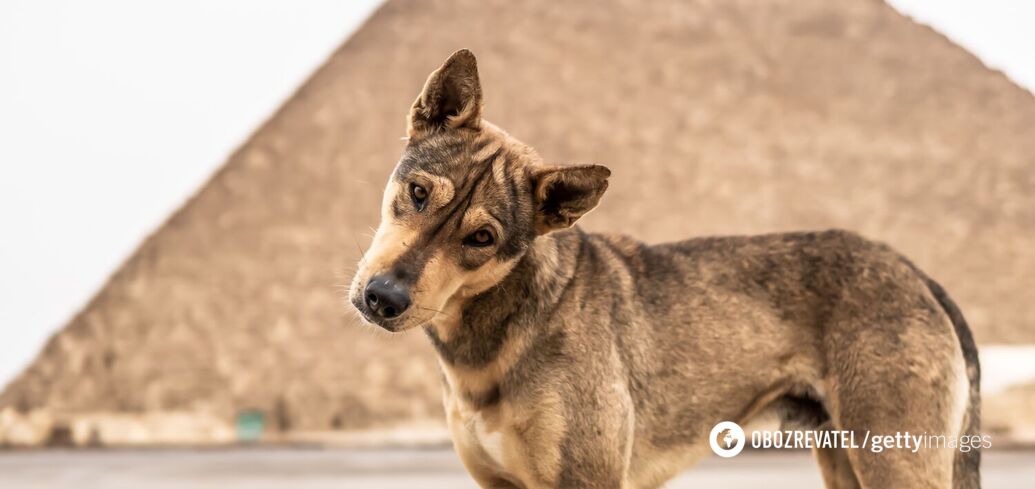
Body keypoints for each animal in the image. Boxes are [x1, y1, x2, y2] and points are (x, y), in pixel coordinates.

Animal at [347, 49, 977, 489]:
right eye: (418, 192)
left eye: (483, 238)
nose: (383, 297)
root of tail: (914, 272)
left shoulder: (587, 481)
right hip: (845, 458)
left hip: (893, 459)